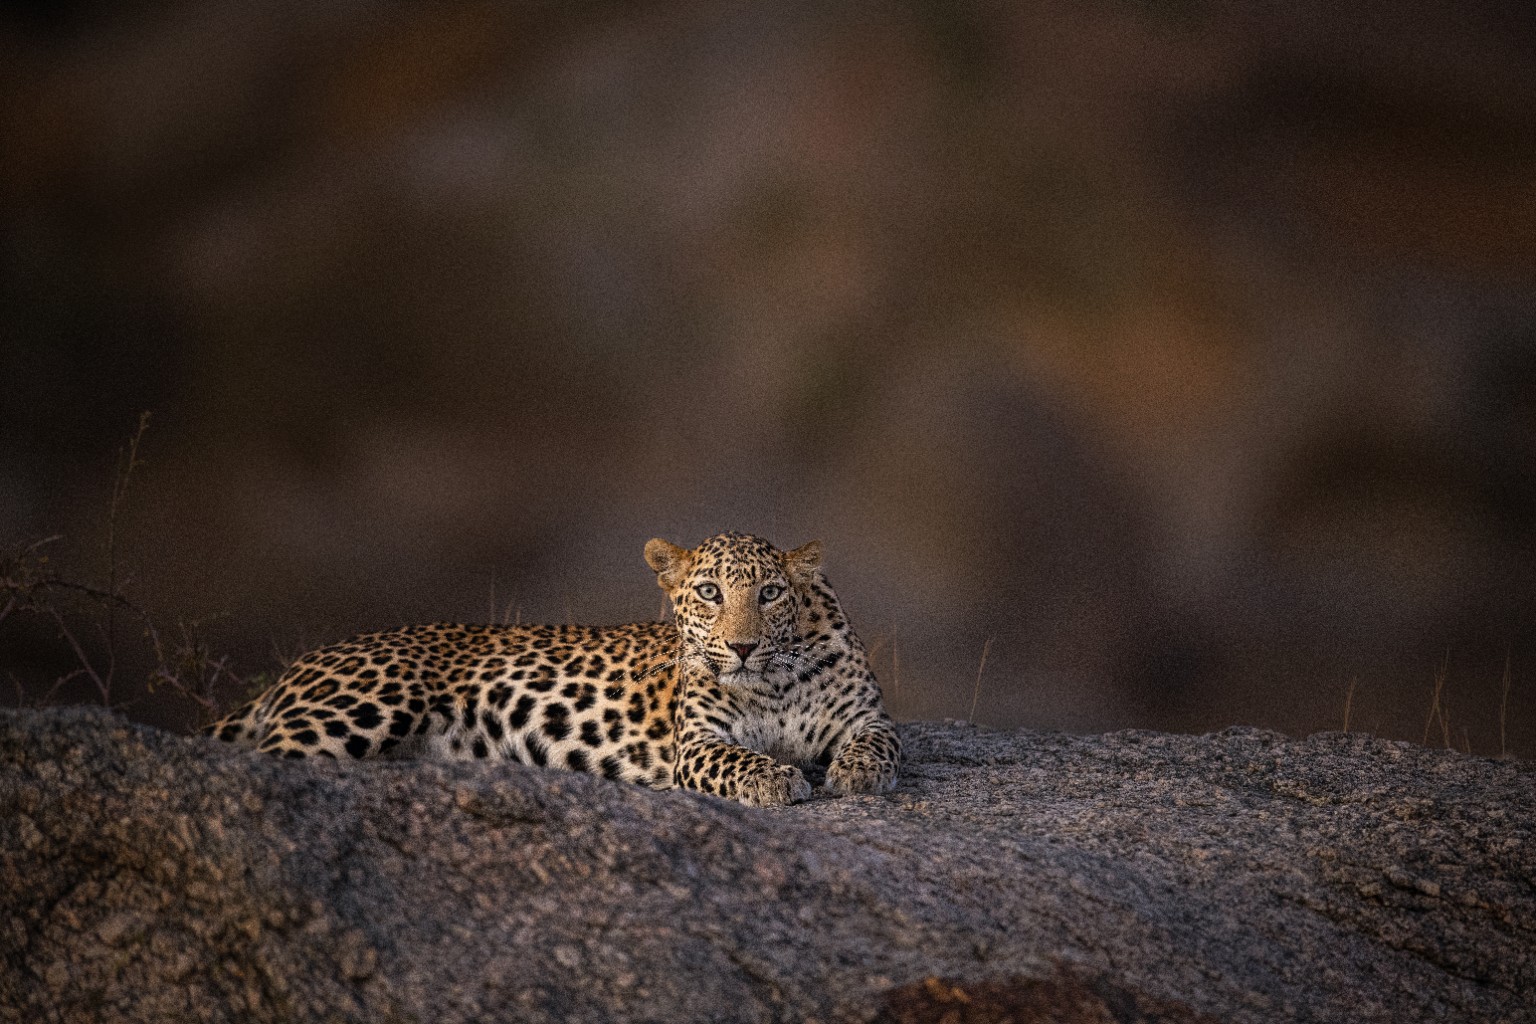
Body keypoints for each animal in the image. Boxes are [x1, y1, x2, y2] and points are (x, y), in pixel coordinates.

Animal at [206, 531, 900, 806]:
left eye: (771, 594)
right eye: (709, 593)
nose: (742, 648)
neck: (772, 683)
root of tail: (302, 663)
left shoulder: (870, 716)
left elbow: (879, 744)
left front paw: (855, 775)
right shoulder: (697, 743)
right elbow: (739, 758)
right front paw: (779, 779)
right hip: (365, 703)